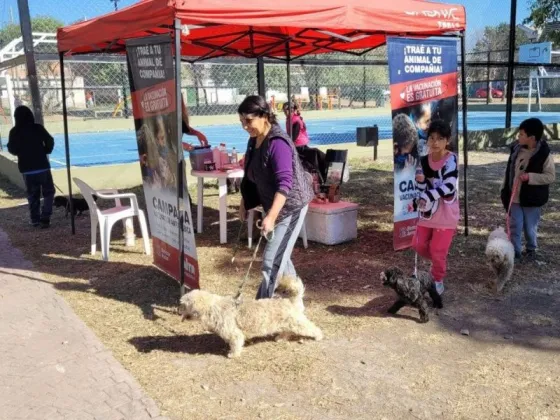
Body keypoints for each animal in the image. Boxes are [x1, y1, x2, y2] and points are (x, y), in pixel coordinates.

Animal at [177, 276, 322, 358]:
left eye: (183, 305)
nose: (178, 311)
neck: (213, 307)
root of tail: (289, 300)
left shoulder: (235, 334)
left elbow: (236, 343)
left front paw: (233, 354)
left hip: (298, 323)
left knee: (313, 328)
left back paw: (319, 336)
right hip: (288, 323)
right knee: (287, 331)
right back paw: (280, 338)